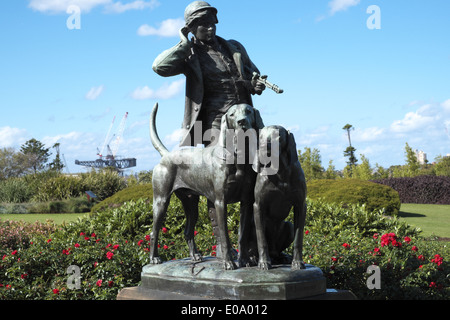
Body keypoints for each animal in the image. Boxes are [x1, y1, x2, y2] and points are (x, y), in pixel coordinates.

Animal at [150, 102, 264, 270]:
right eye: (231, 114)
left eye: (248, 111)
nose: (241, 122)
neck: (238, 156)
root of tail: (166, 155)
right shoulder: (220, 202)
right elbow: (224, 236)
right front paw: (229, 262)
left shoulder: (246, 202)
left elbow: (242, 235)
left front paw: (245, 261)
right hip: (161, 201)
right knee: (154, 232)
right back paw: (154, 258)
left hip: (191, 204)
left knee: (188, 231)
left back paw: (195, 255)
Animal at [253, 125, 306, 270]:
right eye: (260, 137)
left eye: (278, 136)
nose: (263, 147)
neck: (280, 171)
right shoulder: (258, 205)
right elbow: (261, 239)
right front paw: (263, 262)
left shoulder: (301, 205)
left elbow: (299, 238)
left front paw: (297, 262)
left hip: (288, 226)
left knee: (278, 251)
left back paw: (283, 257)